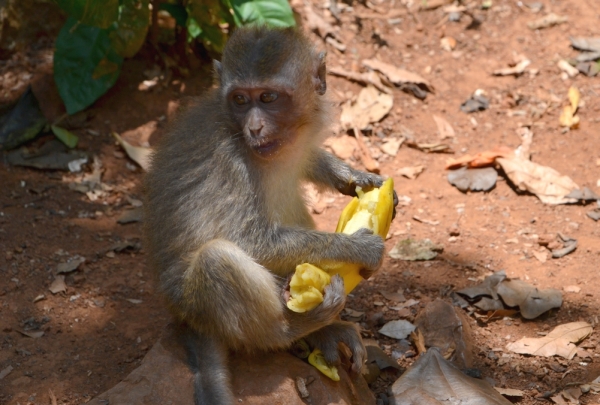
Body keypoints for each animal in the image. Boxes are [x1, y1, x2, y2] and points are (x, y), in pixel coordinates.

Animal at [144, 26, 398, 404]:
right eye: (239, 100)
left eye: (267, 98)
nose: (254, 128)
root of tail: (188, 319)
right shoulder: (229, 161)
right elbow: (249, 240)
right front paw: (358, 248)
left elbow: (308, 162)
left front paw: (355, 177)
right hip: (192, 303)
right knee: (216, 259)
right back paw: (294, 328)